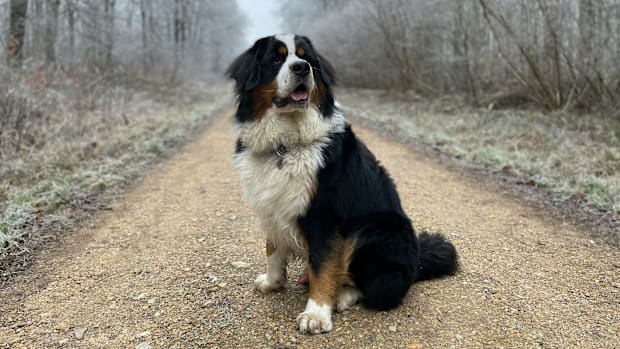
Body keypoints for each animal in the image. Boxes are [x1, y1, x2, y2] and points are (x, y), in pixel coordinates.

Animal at [225, 34, 458, 334]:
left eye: (308, 60)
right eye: (276, 59)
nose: (301, 68)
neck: (285, 144)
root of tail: (416, 263)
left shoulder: (323, 216)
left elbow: (322, 267)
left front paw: (316, 314)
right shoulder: (271, 206)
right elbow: (273, 250)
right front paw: (271, 282)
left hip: (371, 230)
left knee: (376, 288)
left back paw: (342, 295)